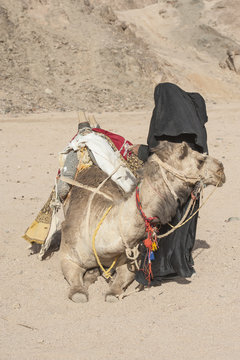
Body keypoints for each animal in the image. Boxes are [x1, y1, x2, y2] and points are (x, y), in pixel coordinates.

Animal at [60, 141, 225, 300]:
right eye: (200, 160)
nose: (221, 169)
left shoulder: (129, 258)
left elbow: (121, 281)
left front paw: (113, 291)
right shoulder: (68, 256)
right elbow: (76, 287)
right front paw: (79, 290)